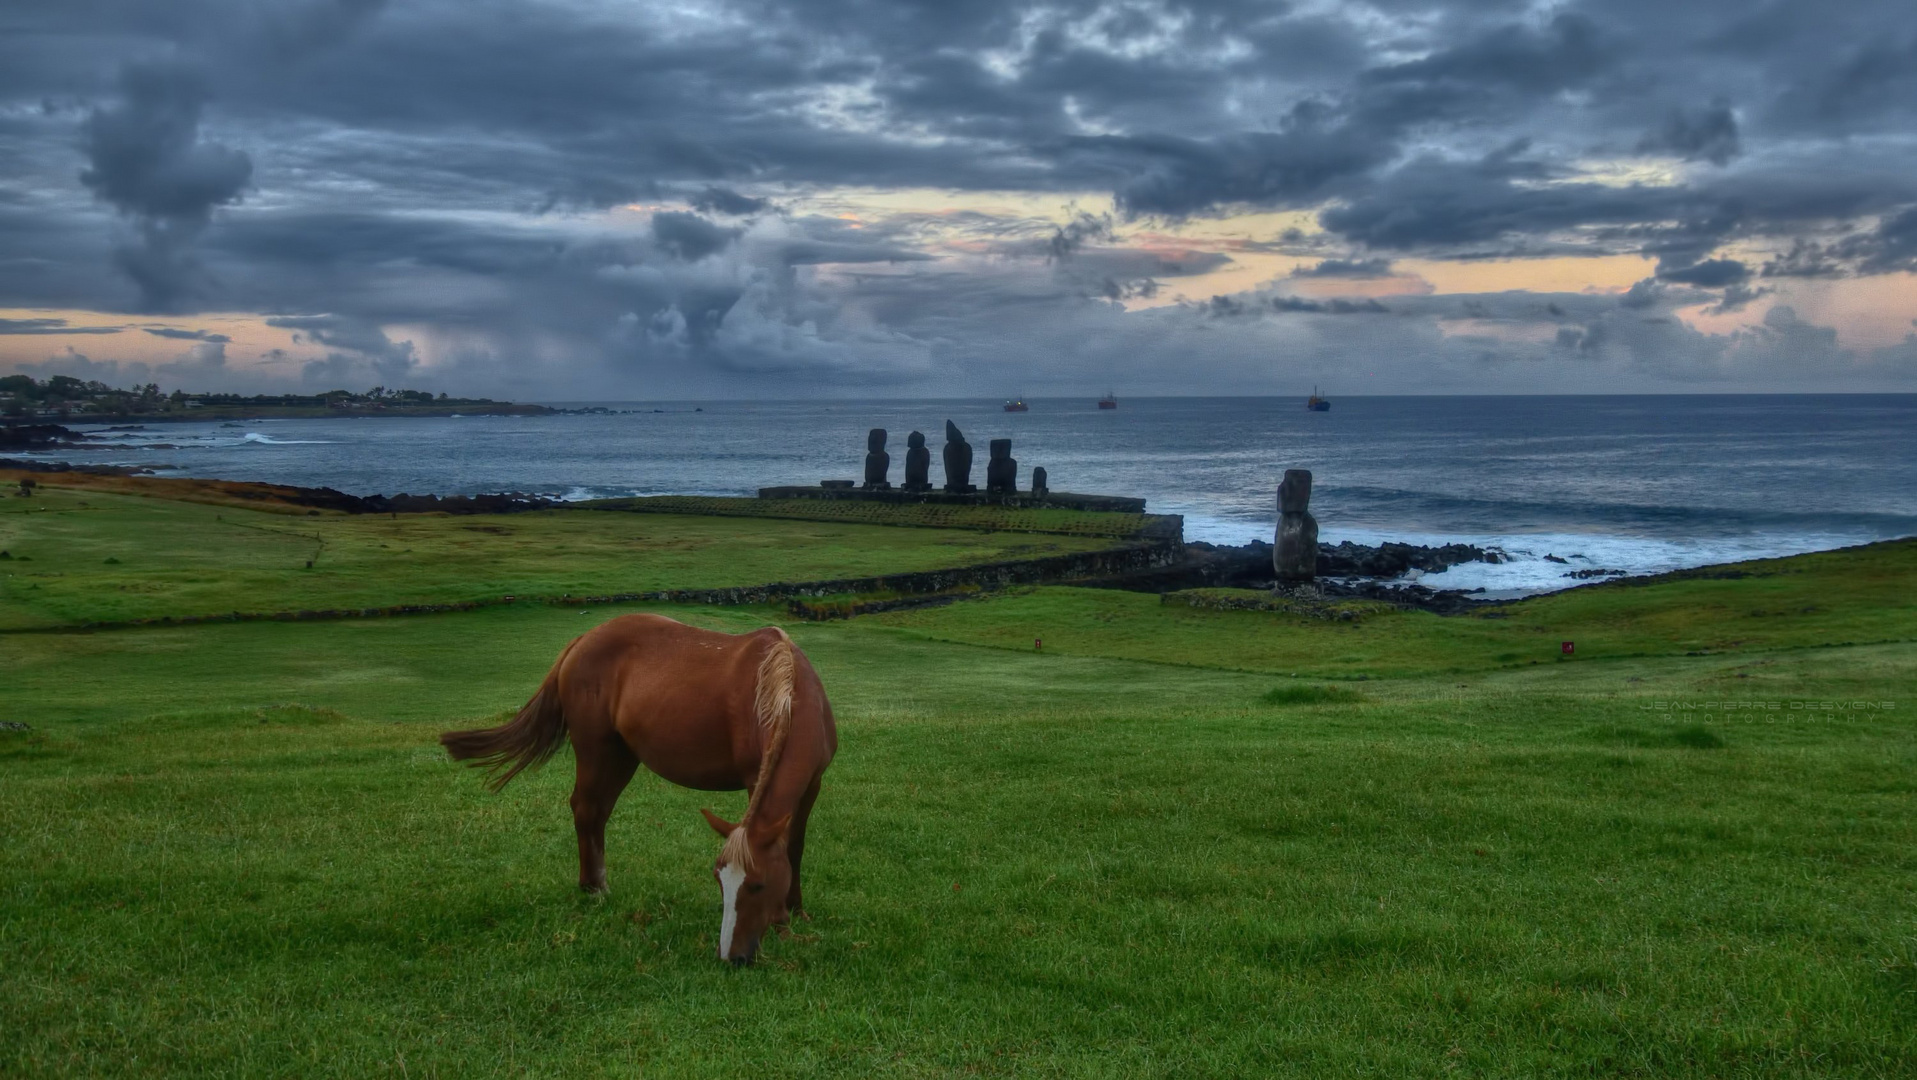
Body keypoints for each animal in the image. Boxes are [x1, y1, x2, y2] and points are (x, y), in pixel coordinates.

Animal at [452, 613, 843, 966]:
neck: (788, 690)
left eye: (758, 885)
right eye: (720, 881)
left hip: (622, 756)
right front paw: (783, 921)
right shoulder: (754, 780)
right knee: (585, 809)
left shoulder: (814, 784)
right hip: (596, 750)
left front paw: (795, 911)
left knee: (597, 812)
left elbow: (794, 847)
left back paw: (597, 885)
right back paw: (594, 889)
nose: (732, 957)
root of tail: (582, 640)